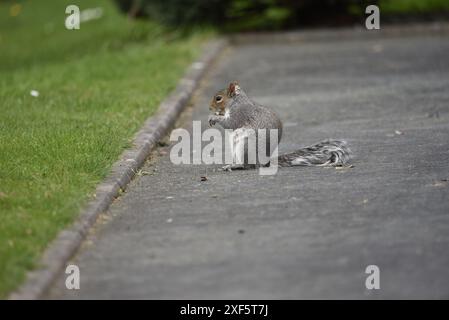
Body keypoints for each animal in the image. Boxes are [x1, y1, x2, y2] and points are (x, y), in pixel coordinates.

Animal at [206, 82, 350, 170]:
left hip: (245, 147)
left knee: (248, 165)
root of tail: (263, 162)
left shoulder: (240, 113)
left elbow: (231, 123)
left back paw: (235, 166)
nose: (209, 108)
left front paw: (214, 117)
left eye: (218, 98)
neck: (236, 101)